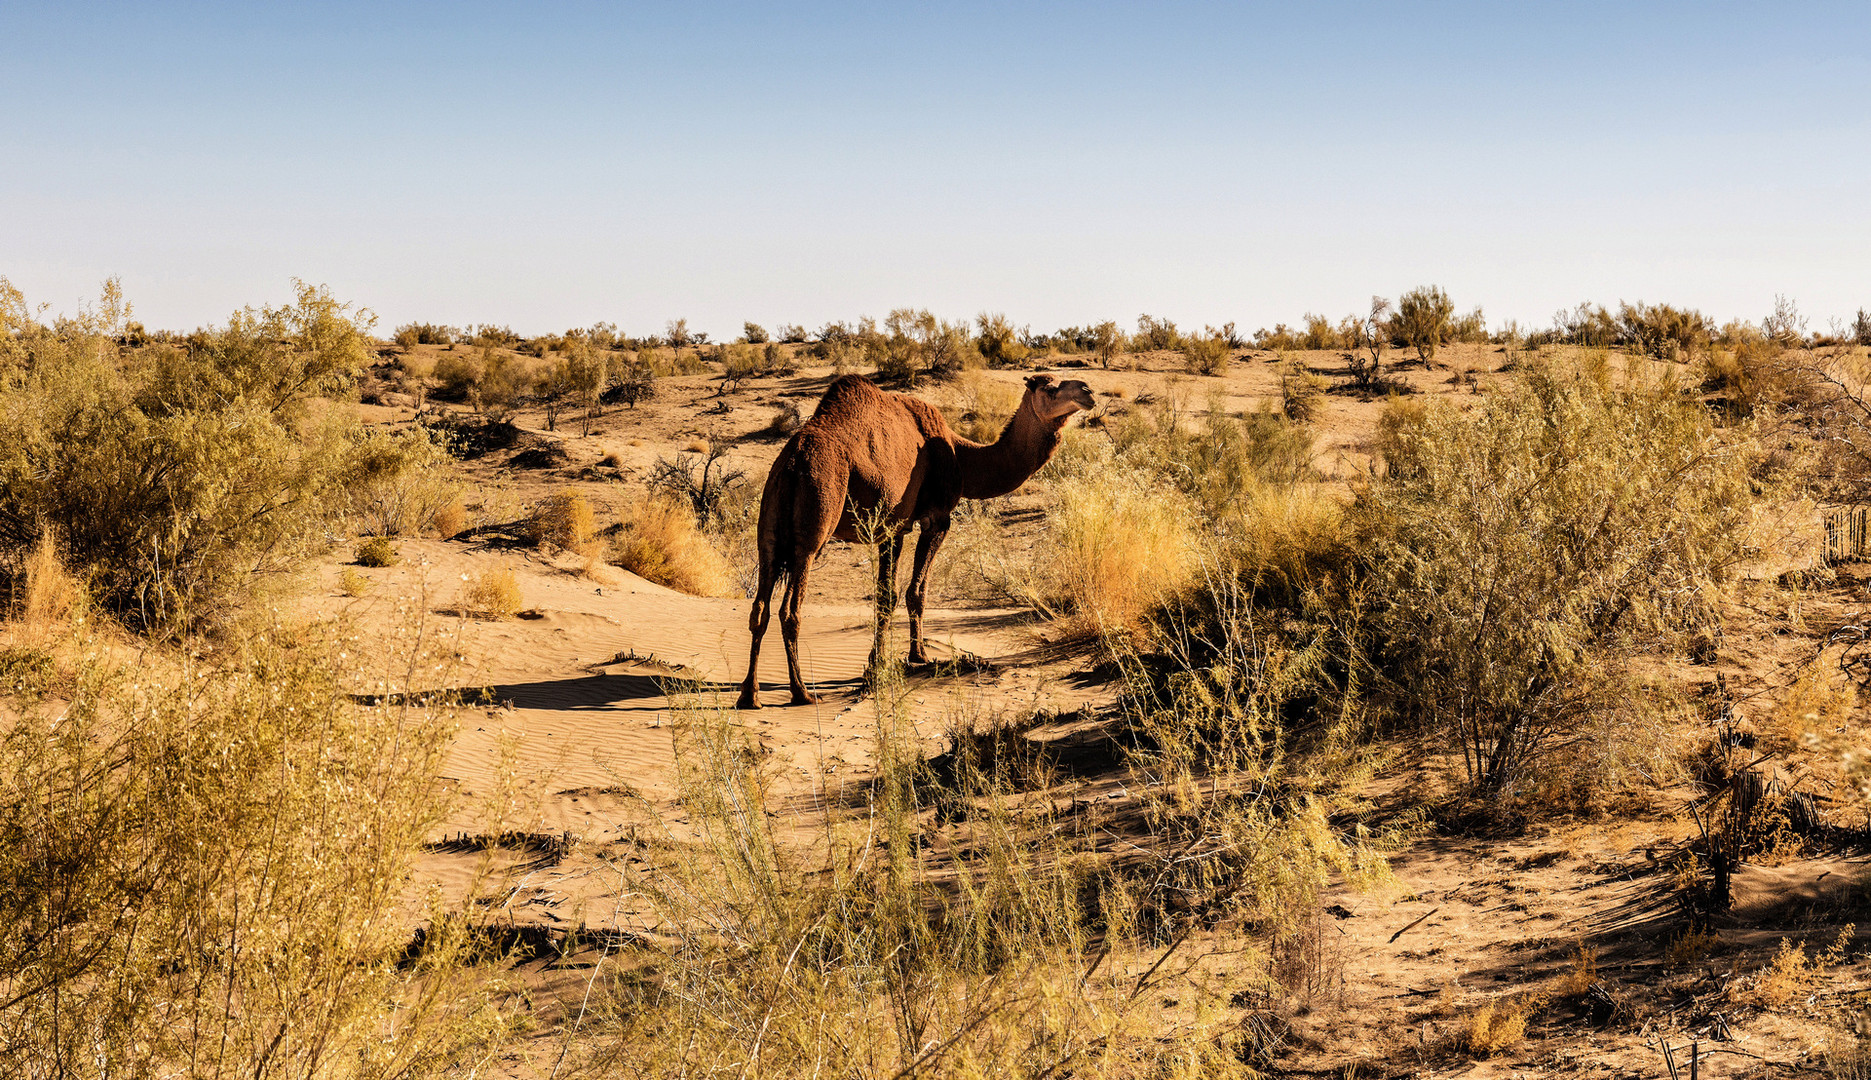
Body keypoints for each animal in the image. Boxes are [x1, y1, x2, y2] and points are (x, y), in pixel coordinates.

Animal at [737, 370, 1092, 707]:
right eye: (1050, 388)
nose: (1087, 390)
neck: (960, 453)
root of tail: (792, 463)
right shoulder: (929, 519)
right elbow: (909, 592)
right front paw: (905, 658)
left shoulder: (892, 527)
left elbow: (890, 594)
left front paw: (891, 660)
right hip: (815, 522)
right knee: (790, 610)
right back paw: (801, 693)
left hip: (768, 528)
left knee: (759, 608)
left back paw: (750, 695)